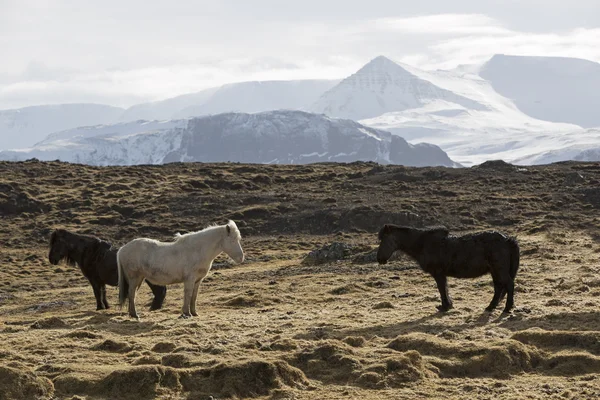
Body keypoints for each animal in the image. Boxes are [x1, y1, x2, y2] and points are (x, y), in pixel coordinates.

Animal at [378, 225, 516, 312]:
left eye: (383, 240)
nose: (379, 259)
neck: (423, 244)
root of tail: (507, 239)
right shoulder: (441, 274)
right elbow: (444, 288)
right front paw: (448, 305)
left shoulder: (438, 273)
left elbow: (441, 289)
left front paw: (444, 307)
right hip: (494, 271)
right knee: (498, 287)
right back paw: (490, 307)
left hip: (499, 270)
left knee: (509, 284)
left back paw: (507, 308)